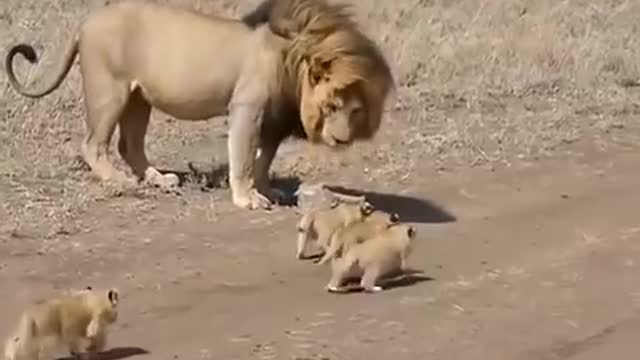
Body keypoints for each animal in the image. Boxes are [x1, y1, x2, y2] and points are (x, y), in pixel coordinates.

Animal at [6, 0, 396, 211]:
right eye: (331, 106)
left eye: (355, 110)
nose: (342, 139)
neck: (292, 60)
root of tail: (85, 23)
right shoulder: (247, 108)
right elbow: (243, 158)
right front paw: (247, 199)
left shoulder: (272, 120)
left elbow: (263, 160)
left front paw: (268, 190)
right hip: (110, 90)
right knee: (93, 144)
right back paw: (121, 181)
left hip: (139, 97)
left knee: (129, 144)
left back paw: (157, 179)